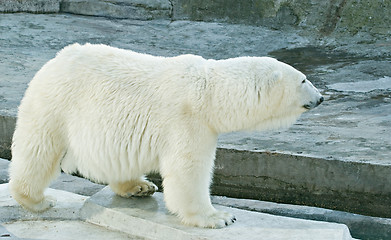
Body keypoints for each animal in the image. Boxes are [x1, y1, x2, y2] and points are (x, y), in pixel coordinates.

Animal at [8, 43, 324, 229]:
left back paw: (138, 186)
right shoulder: (189, 121)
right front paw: (220, 217)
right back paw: (36, 200)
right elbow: (188, 171)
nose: (321, 97)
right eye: (304, 79)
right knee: (39, 150)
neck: (209, 92)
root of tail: (56, 59)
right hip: (56, 104)